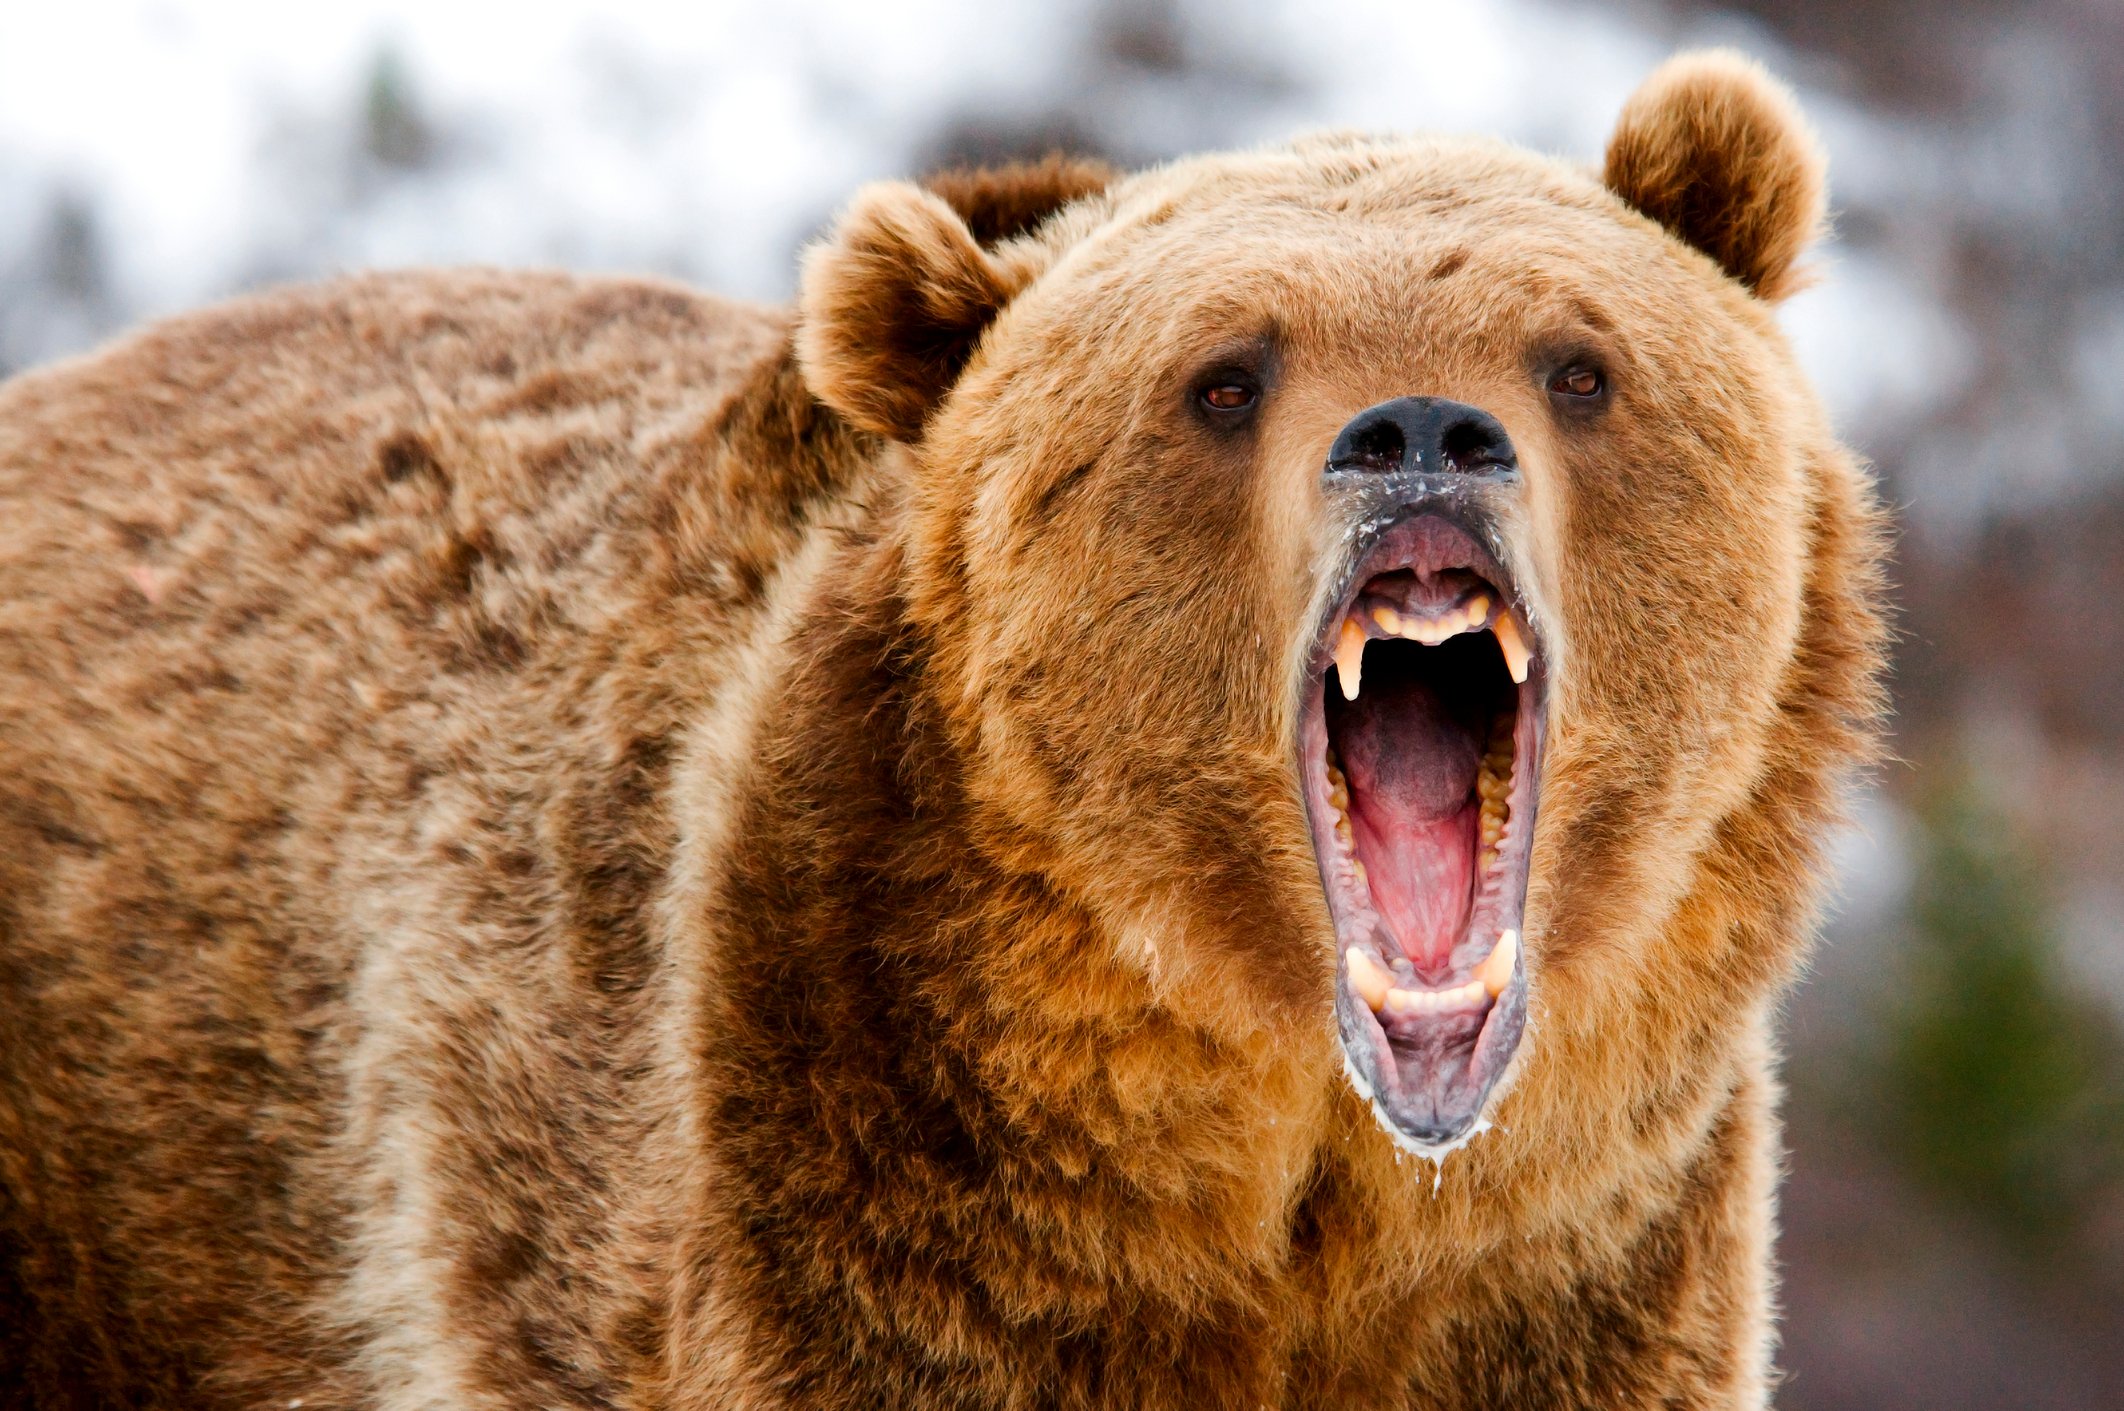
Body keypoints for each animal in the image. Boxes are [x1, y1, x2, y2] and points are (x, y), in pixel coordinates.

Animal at [0, 48, 1886, 1411]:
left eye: (1577, 362)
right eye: (1224, 375)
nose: (1421, 432)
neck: (1309, 1156)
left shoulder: (1576, 1260)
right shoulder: (865, 1170)